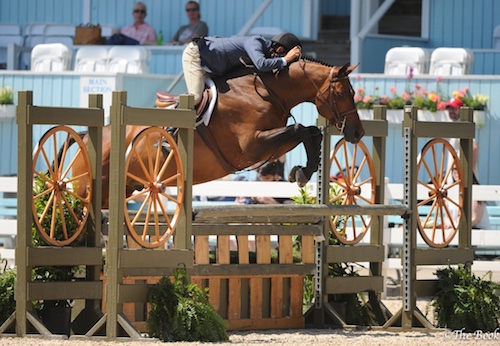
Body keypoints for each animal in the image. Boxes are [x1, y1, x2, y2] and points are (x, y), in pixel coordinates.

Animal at [75, 57, 364, 207]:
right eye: (341, 93)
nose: (357, 133)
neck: (265, 90)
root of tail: (88, 137)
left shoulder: (270, 145)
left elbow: (310, 132)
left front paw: (304, 171)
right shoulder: (251, 146)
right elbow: (300, 129)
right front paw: (303, 171)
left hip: (122, 189)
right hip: (88, 189)